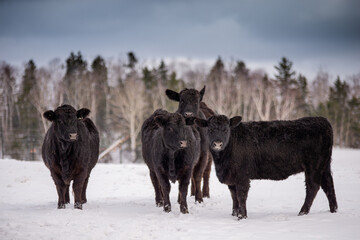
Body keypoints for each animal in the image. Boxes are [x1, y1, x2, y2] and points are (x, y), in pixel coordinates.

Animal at [195, 116, 336, 219]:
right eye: (210, 130)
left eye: (226, 130)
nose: (218, 144)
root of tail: (321, 120)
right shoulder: (232, 178)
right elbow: (234, 195)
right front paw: (234, 213)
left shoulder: (242, 176)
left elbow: (241, 195)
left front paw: (242, 216)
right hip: (324, 165)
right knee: (328, 185)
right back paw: (333, 210)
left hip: (314, 166)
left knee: (313, 187)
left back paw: (302, 212)